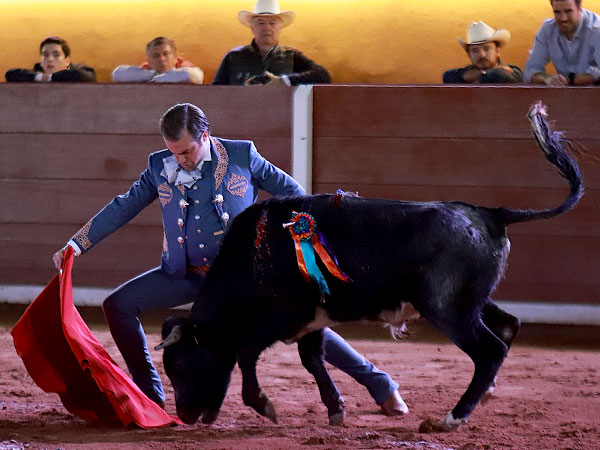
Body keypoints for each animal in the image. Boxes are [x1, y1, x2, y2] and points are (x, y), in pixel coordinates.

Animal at [157, 103, 584, 432]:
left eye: (180, 365)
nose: (186, 417)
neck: (255, 254)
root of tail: (489, 214)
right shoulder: (313, 318)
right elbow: (312, 360)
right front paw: (335, 409)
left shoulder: (280, 318)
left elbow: (248, 354)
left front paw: (265, 405)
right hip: (470, 302)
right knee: (507, 327)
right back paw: (486, 393)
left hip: (446, 308)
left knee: (490, 349)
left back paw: (453, 418)